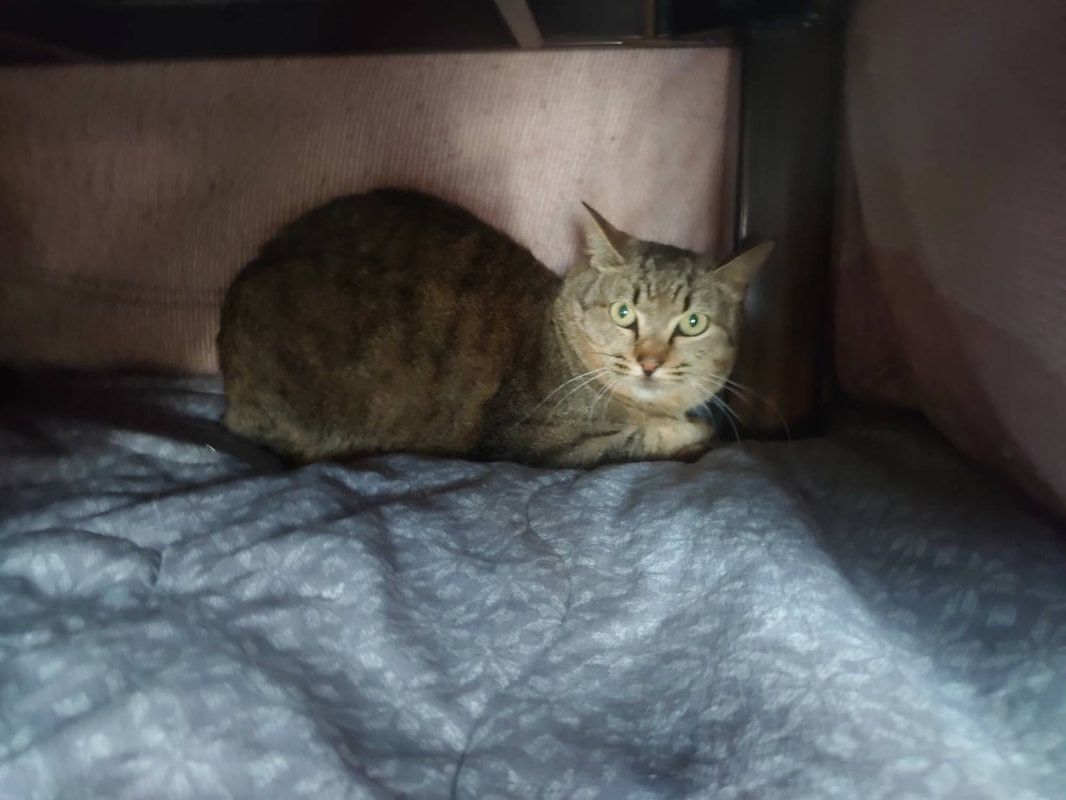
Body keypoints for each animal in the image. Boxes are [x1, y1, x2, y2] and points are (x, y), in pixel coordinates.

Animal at [218, 188, 767, 469]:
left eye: (692, 323)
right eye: (623, 314)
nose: (649, 362)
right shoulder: (540, 441)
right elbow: (641, 438)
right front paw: (692, 431)